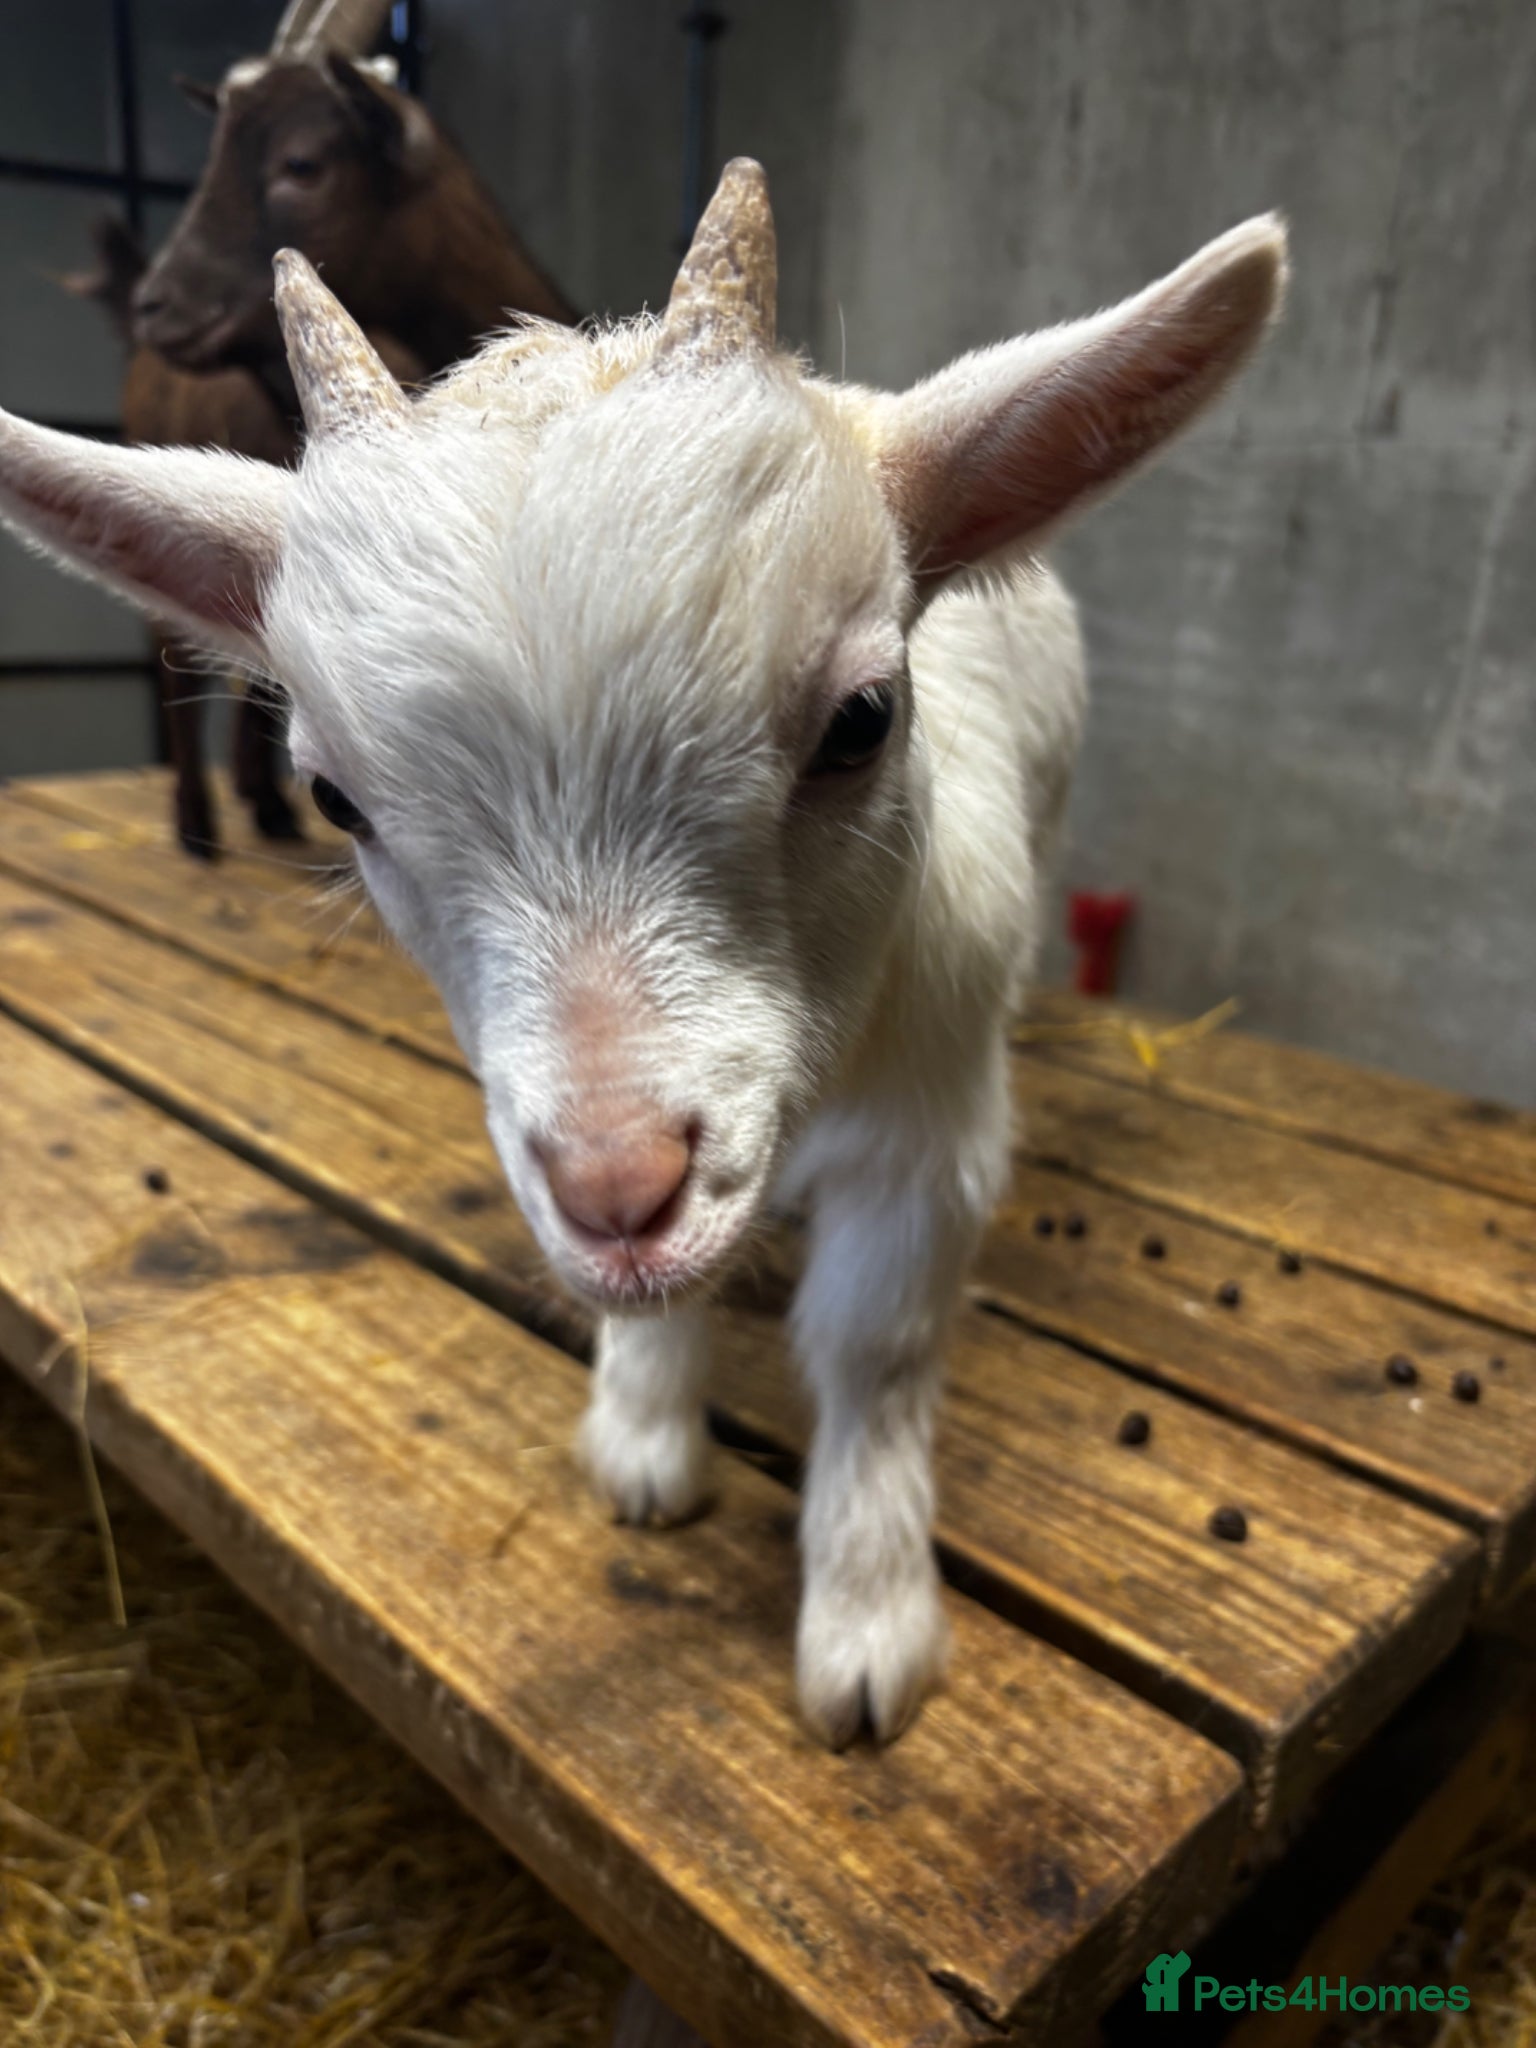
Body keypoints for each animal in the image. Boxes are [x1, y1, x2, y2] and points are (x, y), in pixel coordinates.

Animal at [0, 162, 1286, 1745]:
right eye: (335, 796)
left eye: (863, 718)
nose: (621, 1187)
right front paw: (642, 1431)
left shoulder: (930, 1133)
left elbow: (874, 1345)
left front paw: (869, 1624)